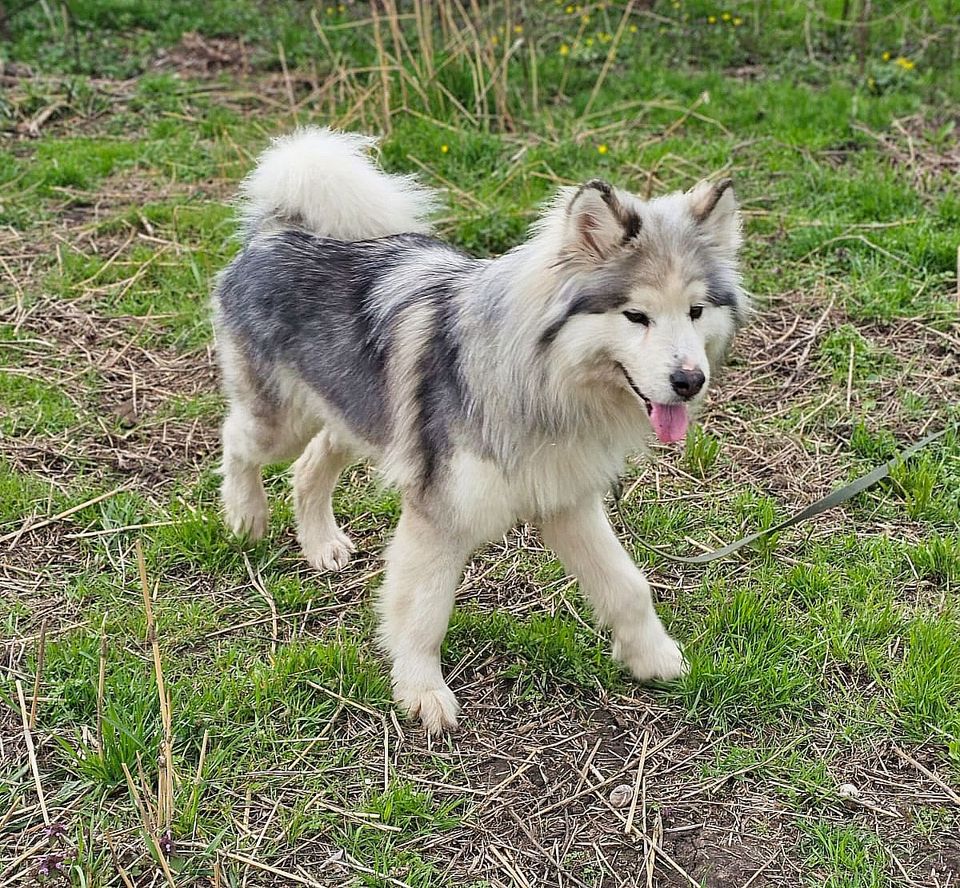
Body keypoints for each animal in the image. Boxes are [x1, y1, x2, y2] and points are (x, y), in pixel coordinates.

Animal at [214, 128, 748, 732]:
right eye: (636, 316)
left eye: (696, 310)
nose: (690, 381)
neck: (544, 385)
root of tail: (276, 233)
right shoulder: (440, 514)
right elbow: (424, 610)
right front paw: (422, 693)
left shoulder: (566, 501)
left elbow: (628, 585)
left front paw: (653, 658)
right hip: (279, 422)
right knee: (237, 441)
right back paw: (246, 516)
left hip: (356, 414)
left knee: (309, 465)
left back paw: (321, 543)